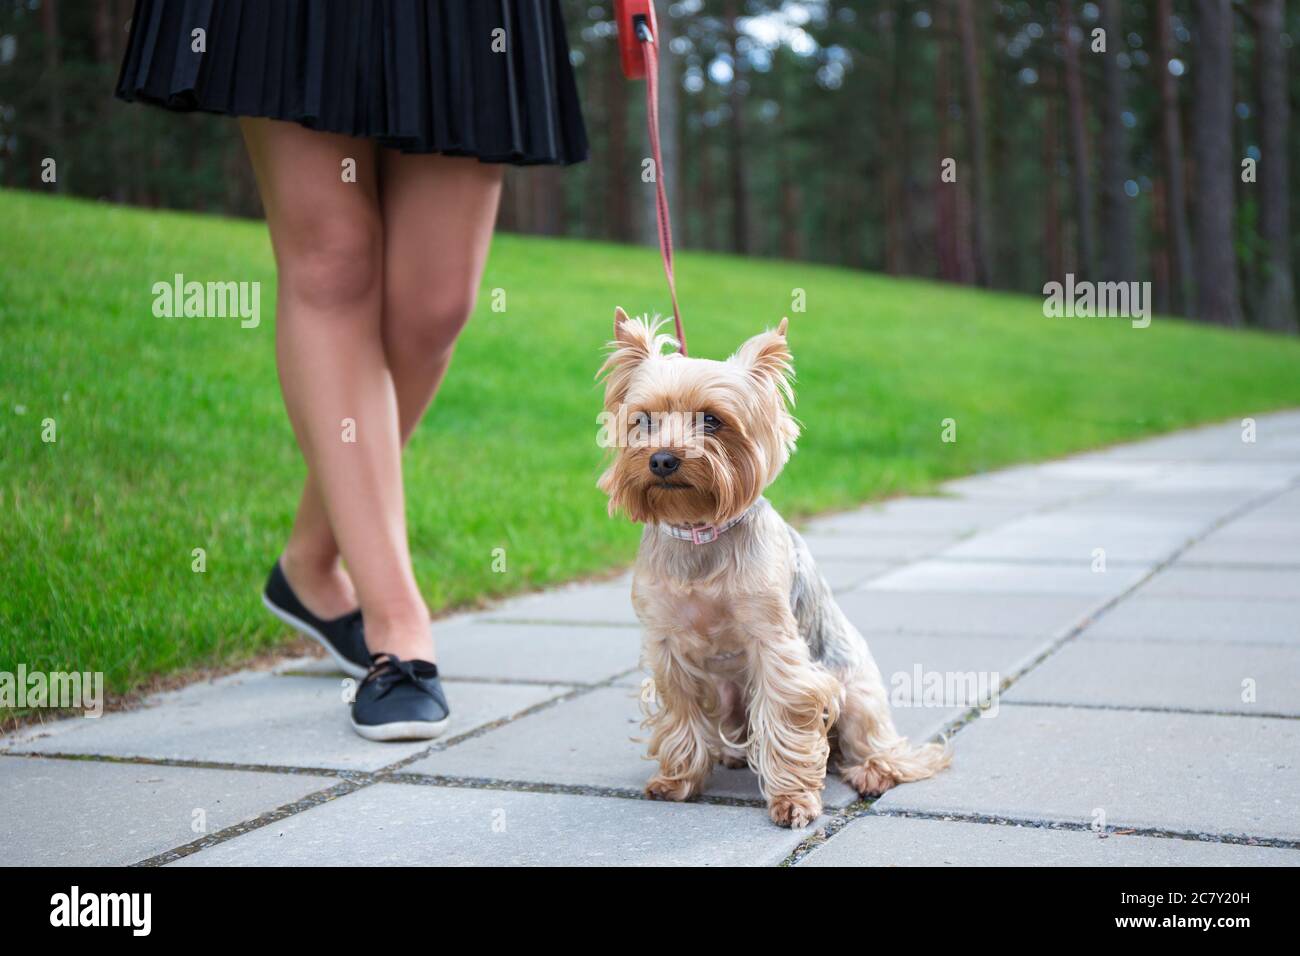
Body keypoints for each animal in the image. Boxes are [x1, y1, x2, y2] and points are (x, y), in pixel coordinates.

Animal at [595, 310, 946, 827]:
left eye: (712, 420)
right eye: (644, 420)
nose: (661, 459)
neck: (701, 530)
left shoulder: (776, 646)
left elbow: (785, 718)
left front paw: (792, 800)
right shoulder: (666, 646)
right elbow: (680, 713)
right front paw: (677, 781)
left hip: (856, 689)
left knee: (872, 742)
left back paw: (872, 771)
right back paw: (731, 754)